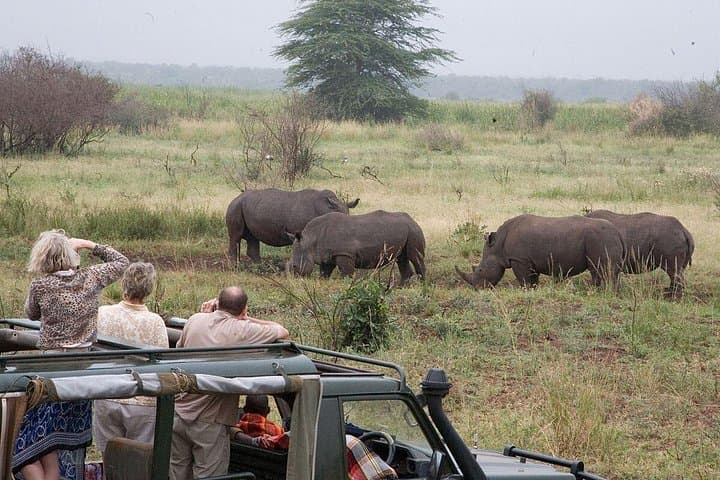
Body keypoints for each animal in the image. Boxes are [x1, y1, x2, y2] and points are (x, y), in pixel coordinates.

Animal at [225, 188, 359, 262]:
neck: (326, 209)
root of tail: (235, 198)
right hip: (235, 207)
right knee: (235, 236)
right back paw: (235, 268)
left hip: (249, 207)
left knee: (253, 238)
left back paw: (260, 267)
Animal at [287, 210, 426, 284]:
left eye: (294, 266)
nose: (295, 281)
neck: (310, 239)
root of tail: (413, 220)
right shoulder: (328, 256)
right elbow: (324, 273)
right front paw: (323, 282)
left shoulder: (344, 253)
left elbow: (347, 274)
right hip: (407, 230)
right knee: (402, 258)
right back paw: (401, 287)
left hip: (413, 231)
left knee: (415, 257)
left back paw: (422, 286)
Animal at [455, 214, 625, 290]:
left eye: (480, 270)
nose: (477, 289)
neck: (498, 245)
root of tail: (618, 233)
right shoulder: (529, 260)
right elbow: (533, 279)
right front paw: (533, 290)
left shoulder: (519, 259)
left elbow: (523, 279)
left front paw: (524, 290)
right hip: (602, 239)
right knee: (596, 269)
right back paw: (597, 290)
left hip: (602, 239)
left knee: (605, 269)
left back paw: (607, 292)